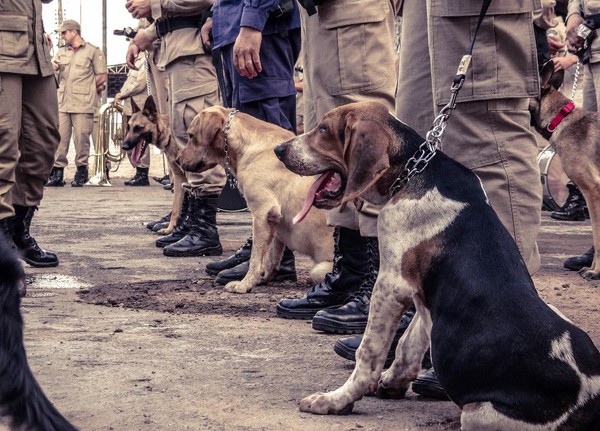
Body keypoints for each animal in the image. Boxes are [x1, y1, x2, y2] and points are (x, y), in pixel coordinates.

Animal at [120, 96, 186, 235]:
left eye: (138, 128)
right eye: (128, 127)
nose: (123, 146)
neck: (169, 134)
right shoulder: (180, 178)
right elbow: (176, 207)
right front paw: (170, 229)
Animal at [176, 108, 336, 296]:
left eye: (191, 136)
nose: (177, 160)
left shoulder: (262, 213)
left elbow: (255, 257)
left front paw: (245, 284)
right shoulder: (275, 220)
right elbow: (270, 259)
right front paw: (261, 279)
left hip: (319, 269)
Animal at [274, 102, 600, 431]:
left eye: (323, 129)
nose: (279, 149)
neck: (413, 171)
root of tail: (590, 403)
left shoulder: (390, 285)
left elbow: (369, 353)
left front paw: (336, 400)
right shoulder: (423, 295)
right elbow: (409, 343)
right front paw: (392, 382)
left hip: (478, 413)